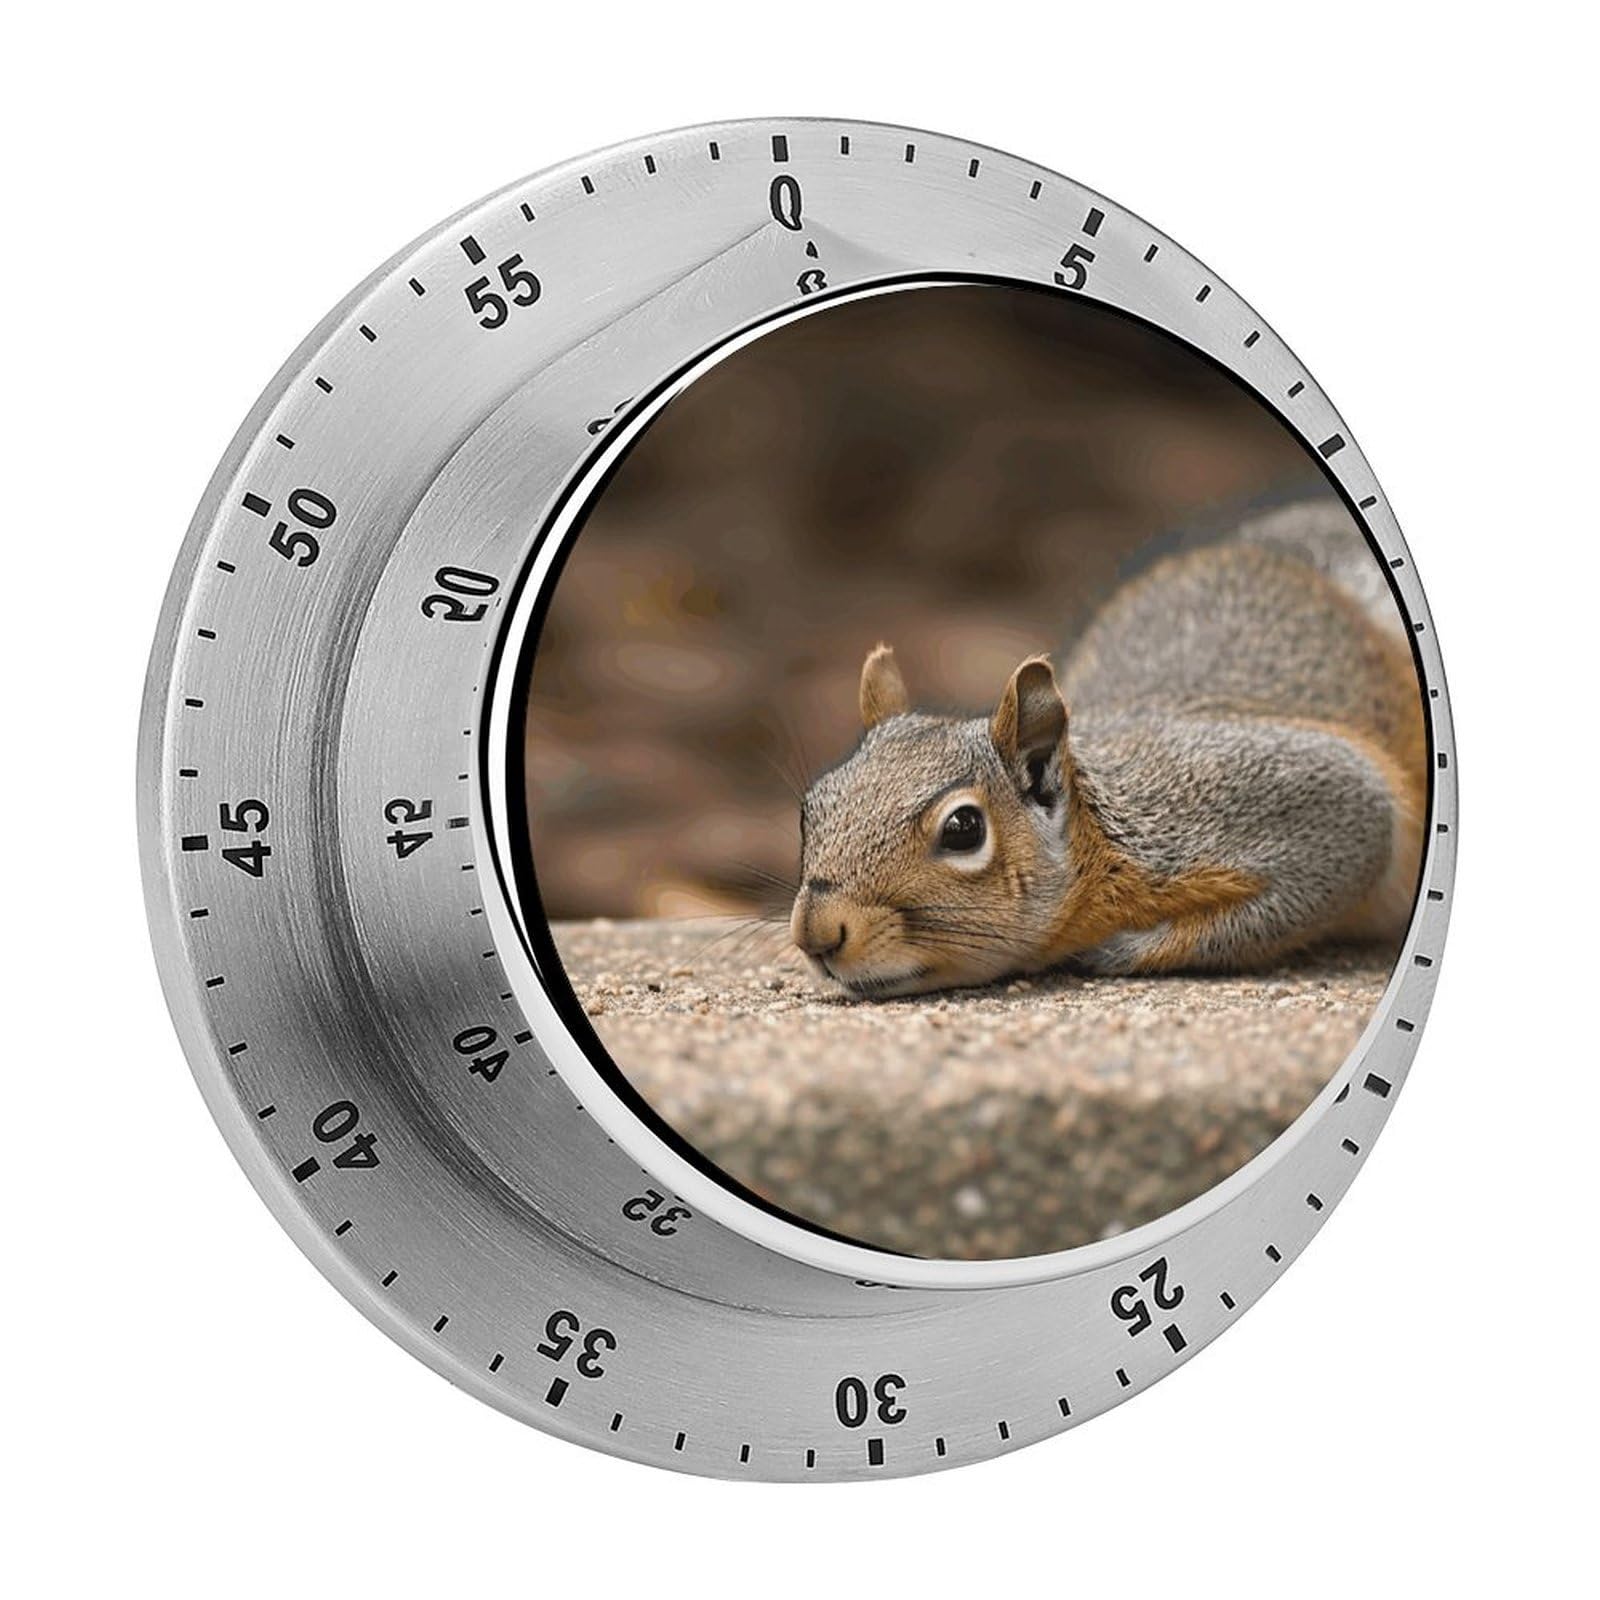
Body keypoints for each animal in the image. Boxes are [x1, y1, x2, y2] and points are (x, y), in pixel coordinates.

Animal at [789, 500, 1426, 997]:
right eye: (811, 809)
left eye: (964, 829)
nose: (815, 933)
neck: (1102, 839)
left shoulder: (1281, 795)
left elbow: (1314, 879)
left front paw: (1120, 950)